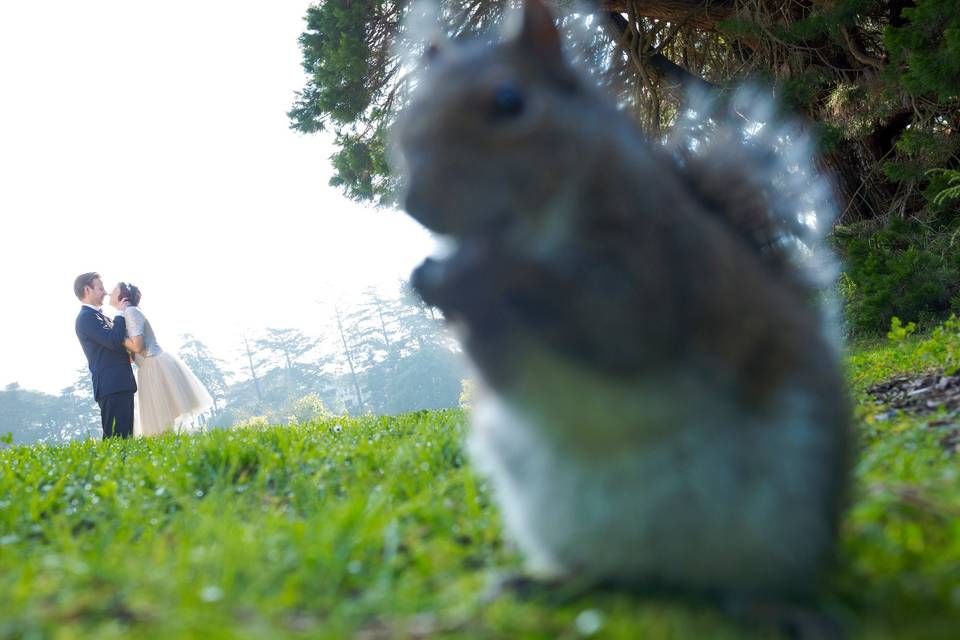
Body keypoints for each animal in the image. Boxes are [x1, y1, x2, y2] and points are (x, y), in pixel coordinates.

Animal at [394, 0, 852, 604]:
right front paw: (433, 281)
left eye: (509, 102)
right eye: (407, 117)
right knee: (597, 573)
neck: (530, 230)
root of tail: (663, 574)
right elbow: (500, 365)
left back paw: (773, 608)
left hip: (793, 494)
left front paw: (477, 275)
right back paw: (543, 582)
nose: (416, 203)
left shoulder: (652, 256)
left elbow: (615, 321)